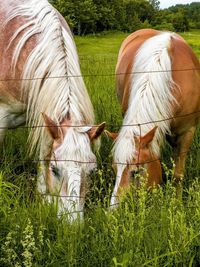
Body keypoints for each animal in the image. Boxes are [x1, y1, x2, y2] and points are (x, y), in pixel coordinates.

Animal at [0, 0, 105, 220]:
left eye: (92, 171)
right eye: (56, 170)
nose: (72, 225)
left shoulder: (45, 117)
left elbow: (43, 155)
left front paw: (44, 197)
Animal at [106, 29, 200, 206]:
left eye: (136, 172)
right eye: (115, 169)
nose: (114, 210)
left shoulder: (187, 132)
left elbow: (178, 175)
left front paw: (177, 204)